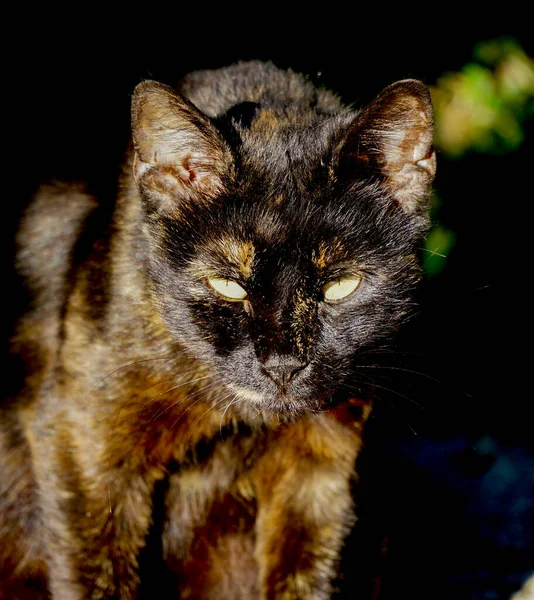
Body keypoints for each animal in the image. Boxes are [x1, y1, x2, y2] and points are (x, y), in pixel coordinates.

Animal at [0, 62, 436, 600]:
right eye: (227, 284)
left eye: (341, 286)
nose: (282, 365)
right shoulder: (83, 445)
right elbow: (97, 577)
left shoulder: (320, 472)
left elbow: (307, 575)